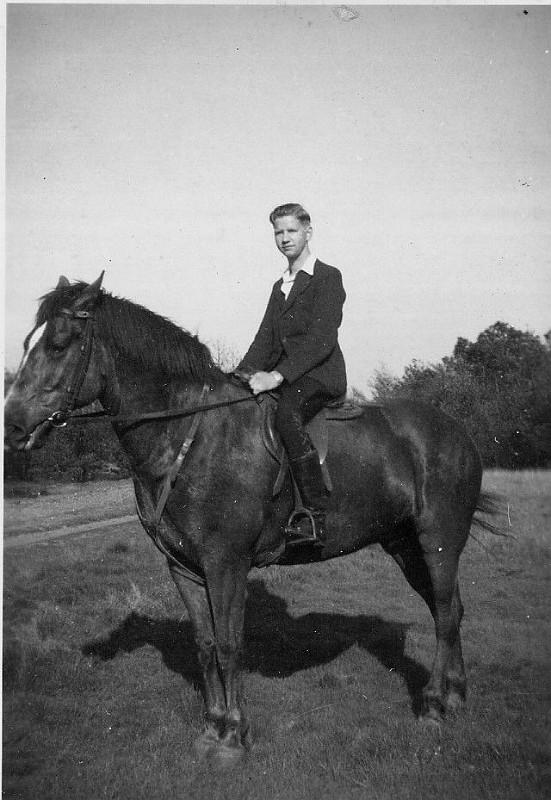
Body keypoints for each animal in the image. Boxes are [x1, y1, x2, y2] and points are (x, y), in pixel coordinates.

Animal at [4, 273, 497, 767]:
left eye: (58, 344)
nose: (12, 427)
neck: (189, 436)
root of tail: (459, 432)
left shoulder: (227, 563)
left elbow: (229, 644)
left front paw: (233, 736)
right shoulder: (183, 567)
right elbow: (205, 646)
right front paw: (212, 727)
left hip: (438, 541)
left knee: (445, 613)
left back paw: (432, 706)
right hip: (404, 546)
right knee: (449, 609)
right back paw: (456, 698)